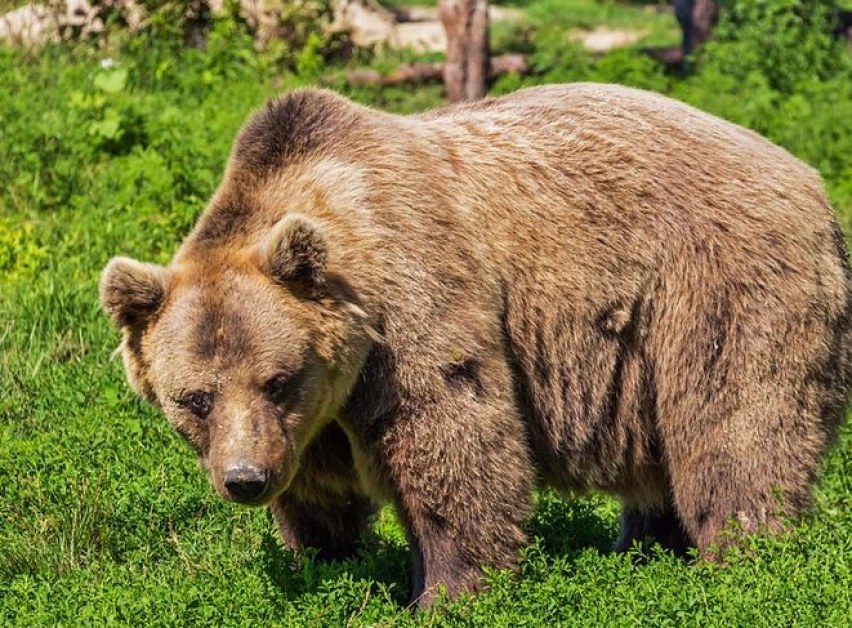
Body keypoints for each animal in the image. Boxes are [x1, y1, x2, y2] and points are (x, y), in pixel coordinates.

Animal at [101, 84, 852, 608]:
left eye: (277, 379)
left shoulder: (411, 304)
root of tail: (811, 180)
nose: (245, 480)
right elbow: (318, 490)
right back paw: (646, 549)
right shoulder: (313, 418)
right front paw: (324, 559)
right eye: (195, 398)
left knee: (736, 426)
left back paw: (746, 557)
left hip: (717, 287)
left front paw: (447, 591)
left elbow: (452, 438)